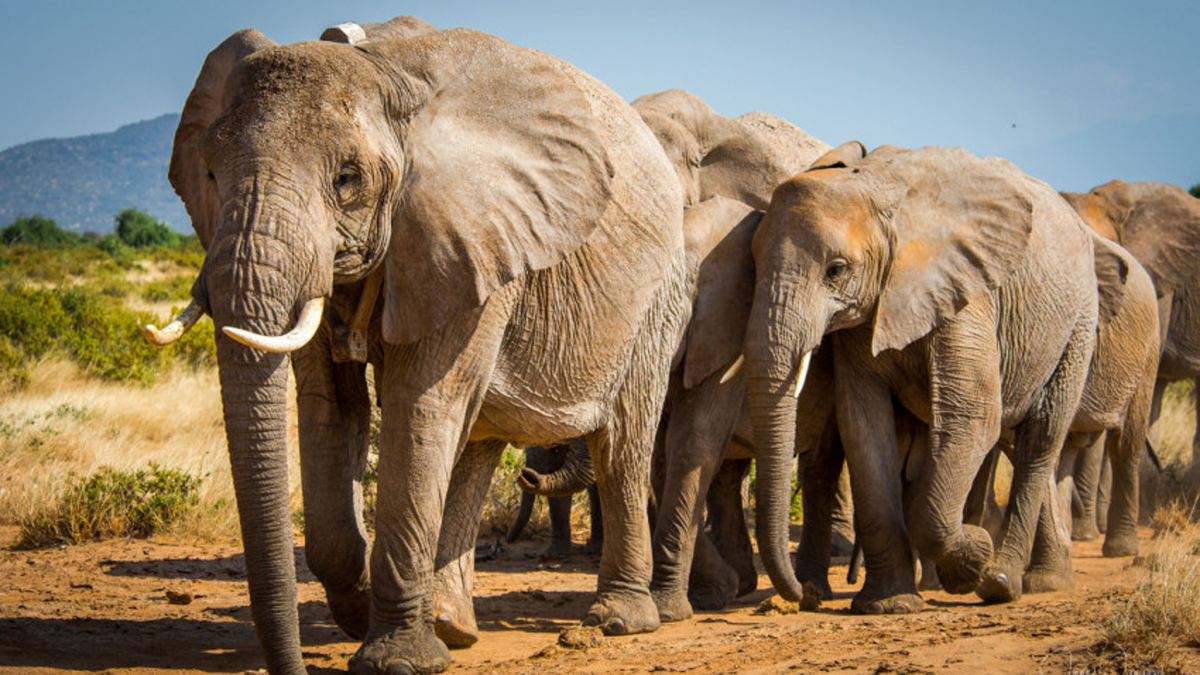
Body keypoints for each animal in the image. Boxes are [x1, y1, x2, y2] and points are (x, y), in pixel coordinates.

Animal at [144, 17, 694, 675]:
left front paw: (396, 659)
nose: (293, 665)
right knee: (478, 440)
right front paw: (360, 611)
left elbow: (418, 404)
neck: (382, 71)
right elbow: (331, 408)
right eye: (208, 173)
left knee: (622, 443)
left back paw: (617, 621)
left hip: (657, 296)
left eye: (347, 179)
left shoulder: (475, 237)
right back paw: (452, 625)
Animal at [746, 142, 1100, 613]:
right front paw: (889, 605)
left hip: (1079, 322)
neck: (875, 187)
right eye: (751, 265)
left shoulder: (966, 291)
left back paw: (1001, 582)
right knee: (1009, 437)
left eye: (836, 269)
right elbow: (864, 427)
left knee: (1040, 438)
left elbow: (973, 414)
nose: (806, 598)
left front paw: (974, 556)